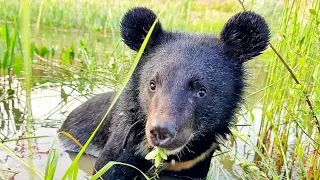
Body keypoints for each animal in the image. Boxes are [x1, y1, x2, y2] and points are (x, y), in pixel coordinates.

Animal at [59, 6, 270, 180]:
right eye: (152, 85)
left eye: (201, 92)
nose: (160, 132)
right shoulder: (123, 144)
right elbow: (107, 169)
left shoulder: (195, 162)